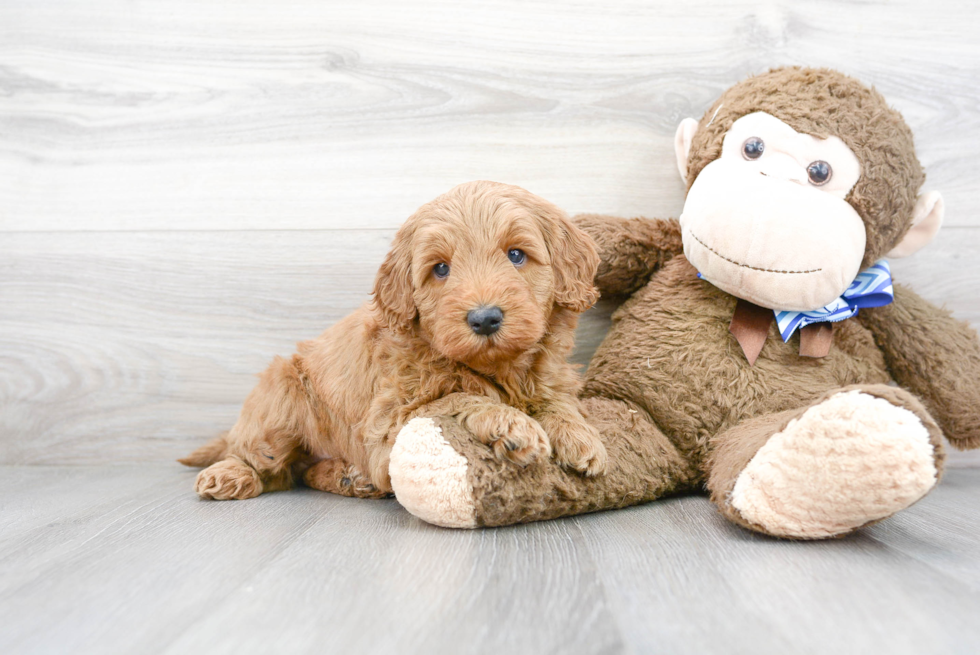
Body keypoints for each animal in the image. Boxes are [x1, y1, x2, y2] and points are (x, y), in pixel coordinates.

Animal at [177, 179, 604, 498]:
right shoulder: (388, 424)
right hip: (280, 400)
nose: (484, 319)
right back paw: (230, 475)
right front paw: (510, 423)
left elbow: (557, 401)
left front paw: (579, 436)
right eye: (441, 269)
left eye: (516, 255)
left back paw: (347, 477)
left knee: (300, 471)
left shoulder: (550, 376)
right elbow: (454, 398)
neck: (495, 368)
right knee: (263, 462)